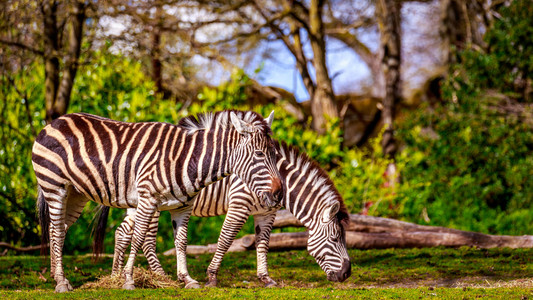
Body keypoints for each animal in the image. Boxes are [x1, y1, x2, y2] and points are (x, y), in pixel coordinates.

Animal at [32, 109, 282, 290]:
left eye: (275, 154)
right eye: (260, 154)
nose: (279, 194)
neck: (187, 159)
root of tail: (55, 121)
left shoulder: (183, 206)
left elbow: (181, 242)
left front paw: (187, 279)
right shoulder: (147, 199)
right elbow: (139, 237)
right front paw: (129, 280)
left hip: (76, 194)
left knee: (58, 229)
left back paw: (56, 276)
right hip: (55, 186)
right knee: (56, 229)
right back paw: (61, 282)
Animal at [97, 140, 352, 286]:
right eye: (334, 239)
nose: (347, 274)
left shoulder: (266, 213)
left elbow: (263, 244)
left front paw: (265, 278)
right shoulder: (239, 203)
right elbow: (226, 239)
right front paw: (211, 277)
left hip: (138, 204)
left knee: (122, 233)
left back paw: (115, 275)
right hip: (151, 202)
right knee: (147, 240)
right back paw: (161, 277)